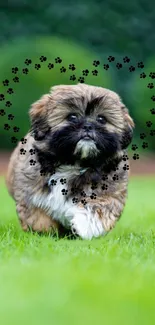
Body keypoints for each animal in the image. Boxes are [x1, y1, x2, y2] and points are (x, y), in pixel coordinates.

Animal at [5, 83, 134, 239]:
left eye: (102, 119)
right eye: (72, 117)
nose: (88, 126)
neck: (74, 163)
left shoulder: (110, 191)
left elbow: (99, 207)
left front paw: (84, 226)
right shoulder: (30, 193)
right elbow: (38, 217)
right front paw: (46, 232)